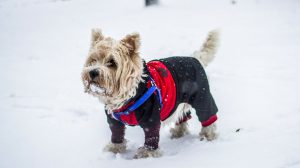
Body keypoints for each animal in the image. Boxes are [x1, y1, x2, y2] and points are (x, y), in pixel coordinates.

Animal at [81, 28, 219, 159]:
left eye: (112, 62)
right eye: (93, 60)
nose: (92, 72)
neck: (127, 96)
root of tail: (195, 58)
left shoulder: (151, 117)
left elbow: (151, 137)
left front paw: (147, 154)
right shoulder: (113, 120)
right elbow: (116, 134)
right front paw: (114, 149)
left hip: (202, 97)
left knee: (208, 117)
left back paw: (208, 136)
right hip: (179, 101)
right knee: (183, 115)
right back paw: (178, 132)